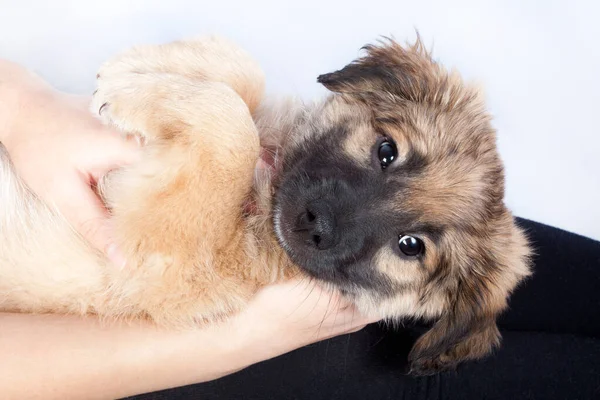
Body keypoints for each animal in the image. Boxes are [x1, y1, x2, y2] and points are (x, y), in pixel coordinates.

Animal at [0, 35, 532, 376]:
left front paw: (130, 88)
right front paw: (143, 66)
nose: (316, 223)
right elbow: (244, 81)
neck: (267, 186)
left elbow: (233, 133)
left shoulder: (169, 263)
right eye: (387, 152)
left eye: (410, 246)